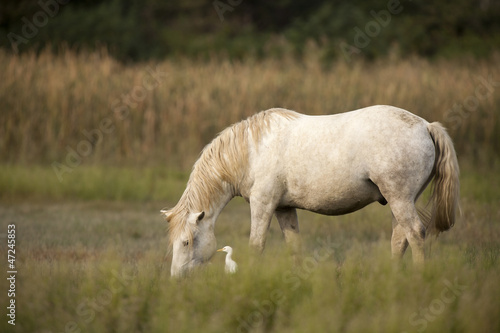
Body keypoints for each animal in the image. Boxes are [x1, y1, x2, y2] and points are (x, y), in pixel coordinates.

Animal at [162, 105, 458, 274]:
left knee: (416, 234)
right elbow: (294, 247)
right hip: (399, 201)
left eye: (186, 242)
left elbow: (256, 245)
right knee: (400, 238)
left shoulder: (263, 205)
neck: (251, 150)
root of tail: (426, 125)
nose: (177, 279)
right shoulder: (284, 209)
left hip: (400, 199)